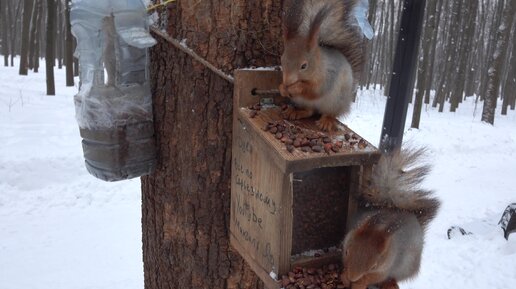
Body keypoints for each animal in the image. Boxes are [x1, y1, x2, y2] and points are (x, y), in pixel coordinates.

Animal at [278, 0, 366, 130]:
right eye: (282, 60)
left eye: (304, 66)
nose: (287, 82)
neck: (319, 65)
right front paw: (282, 88)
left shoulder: (328, 76)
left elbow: (315, 90)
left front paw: (296, 87)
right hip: (301, 101)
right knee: (309, 111)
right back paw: (296, 112)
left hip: (335, 102)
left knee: (330, 113)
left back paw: (327, 121)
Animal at [340, 148, 442, 288]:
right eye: (346, 252)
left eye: (373, 266)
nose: (352, 277)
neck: (379, 226)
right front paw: (344, 277)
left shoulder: (387, 266)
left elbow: (374, 277)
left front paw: (359, 283)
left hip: (405, 267)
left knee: (391, 277)